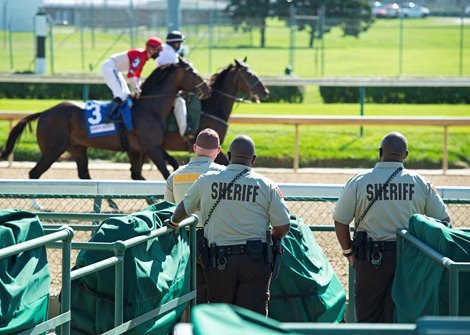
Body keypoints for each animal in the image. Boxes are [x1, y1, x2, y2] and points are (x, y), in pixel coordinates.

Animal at [0, 59, 209, 182]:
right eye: (193, 72)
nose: (207, 88)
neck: (150, 108)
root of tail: (44, 112)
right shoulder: (151, 147)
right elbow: (165, 172)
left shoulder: (142, 149)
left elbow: (152, 171)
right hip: (52, 150)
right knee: (34, 173)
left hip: (77, 148)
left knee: (84, 174)